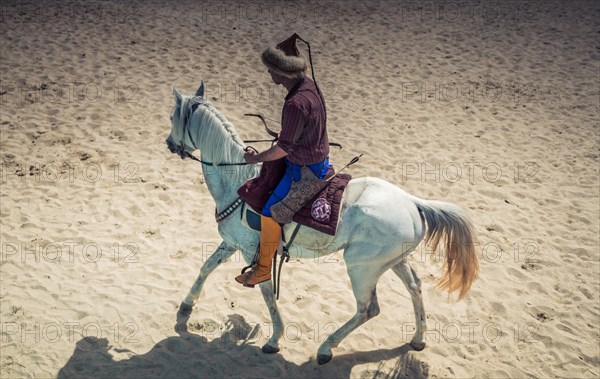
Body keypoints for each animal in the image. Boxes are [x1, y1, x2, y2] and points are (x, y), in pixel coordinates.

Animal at [166, 82, 480, 366]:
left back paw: (326, 348)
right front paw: (186, 307)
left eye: (172, 118)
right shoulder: (232, 243)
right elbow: (206, 266)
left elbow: (267, 294)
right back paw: (418, 338)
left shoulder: (252, 253)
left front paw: (274, 339)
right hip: (394, 261)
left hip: (362, 268)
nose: (169, 143)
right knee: (414, 287)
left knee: (368, 309)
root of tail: (412, 202)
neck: (237, 181)